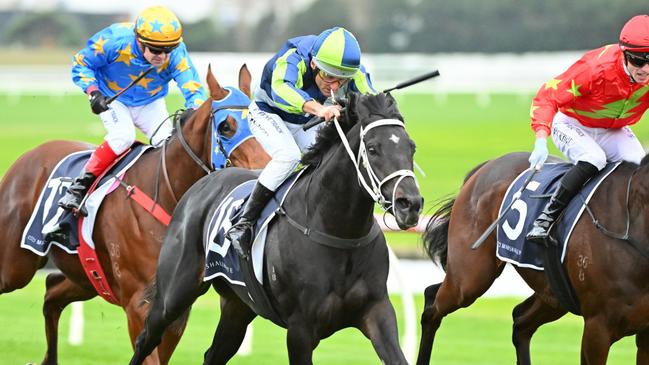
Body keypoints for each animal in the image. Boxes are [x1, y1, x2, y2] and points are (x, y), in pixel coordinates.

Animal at [0, 65, 270, 364]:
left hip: (87, 277)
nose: (263, 169)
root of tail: (30, 154)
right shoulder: (139, 302)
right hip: (15, 266)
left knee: (51, 290)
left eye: (262, 123)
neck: (168, 195)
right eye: (226, 127)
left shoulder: (174, 308)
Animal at [129, 91, 422, 364]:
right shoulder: (300, 329)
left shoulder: (377, 311)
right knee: (146, 339)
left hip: (238, 306)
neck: (339, 232)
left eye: (411, 147)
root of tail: (205, 181)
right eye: (372, 148)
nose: (410, 204)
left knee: (213, 354)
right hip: (174, 294)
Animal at [416, 151, 649, 364]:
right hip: (469, 279)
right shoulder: (597, 327)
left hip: (554, 293)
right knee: (431, 306)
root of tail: (484, 168)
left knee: (520, 321)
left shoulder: (642, 334)